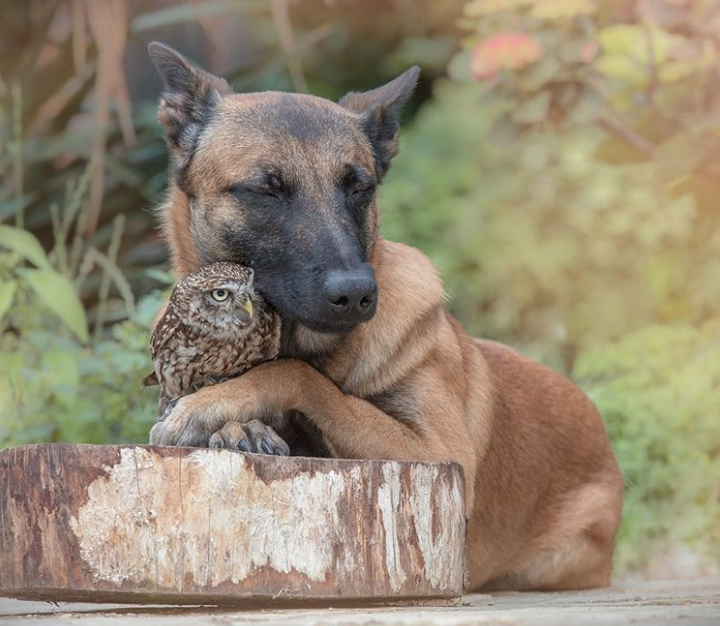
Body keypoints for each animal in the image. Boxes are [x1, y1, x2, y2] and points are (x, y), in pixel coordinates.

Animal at [148, 40, 624, 588]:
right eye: (265, 190)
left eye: (359, 187)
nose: (355, 294)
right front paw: (235, 425)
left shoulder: (441, 455)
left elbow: (301, 377)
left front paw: (215, 405)